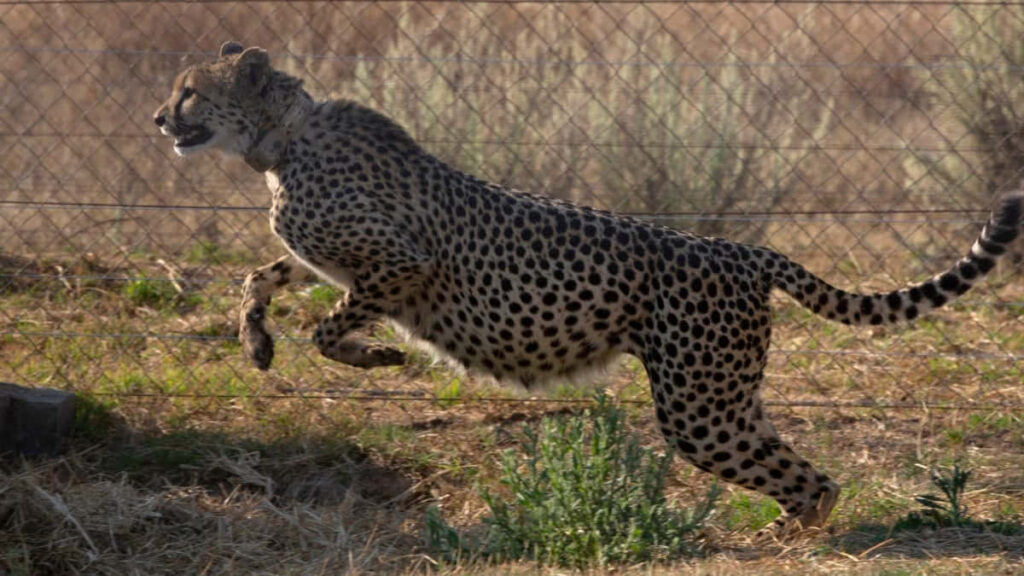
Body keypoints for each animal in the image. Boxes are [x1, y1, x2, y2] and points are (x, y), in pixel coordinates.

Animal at [153, 41, 1023, 536]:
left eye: (189, 91)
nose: (160, 119)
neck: (279, 141)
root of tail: (743, 248)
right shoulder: (330, 260)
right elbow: (261, 276)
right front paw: (256, 343)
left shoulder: (404, 266)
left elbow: (330, 327)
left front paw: (377, 361)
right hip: (725, 397)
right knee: (804, 471)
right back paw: (795, 533)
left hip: (700, 408)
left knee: (808, 478)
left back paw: (797, 539)